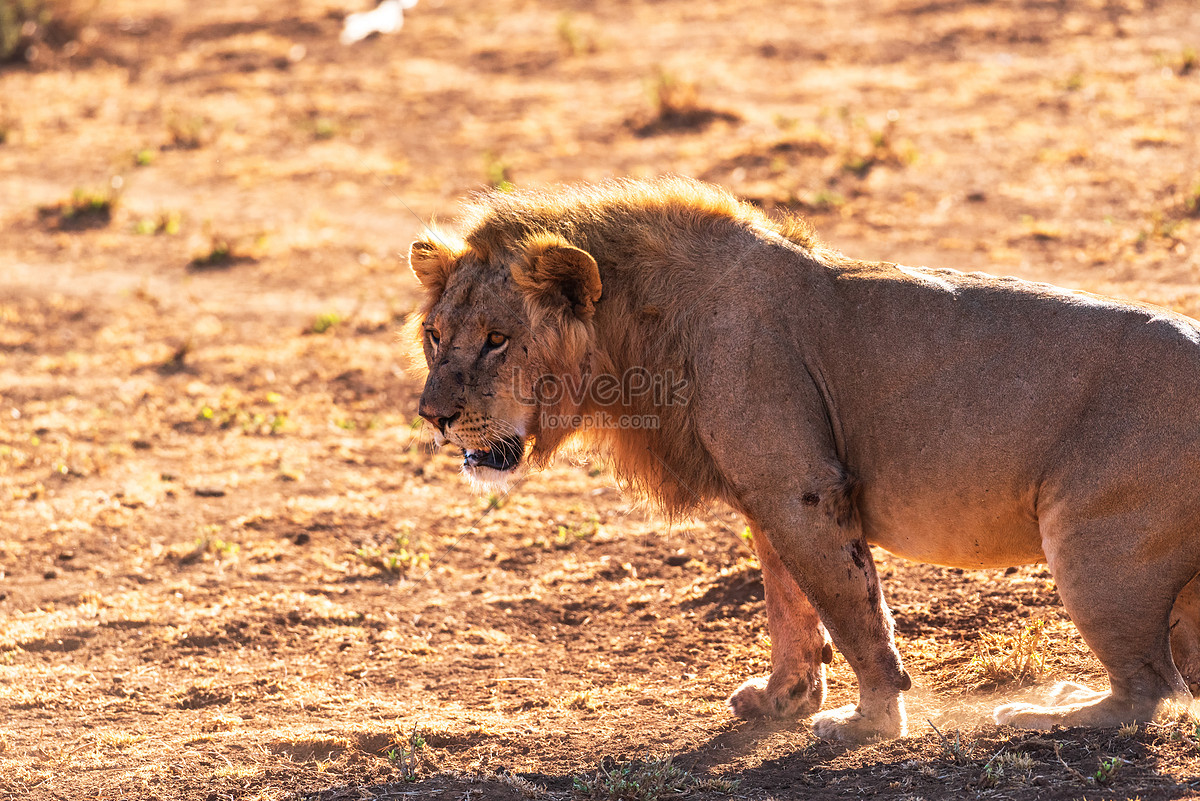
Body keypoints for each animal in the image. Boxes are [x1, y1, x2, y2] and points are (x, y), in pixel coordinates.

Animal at [408, 178, 1200, 743]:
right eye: (434, 334)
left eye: (497, 339)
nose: (432, 415)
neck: (635, 334)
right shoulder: (768, 495)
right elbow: (789, 604)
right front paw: (782, 698)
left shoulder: (803, 488)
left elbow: (854, 614)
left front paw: (869, 721)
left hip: (1093, 545)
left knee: (1148, 689)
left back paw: (1049, 713)